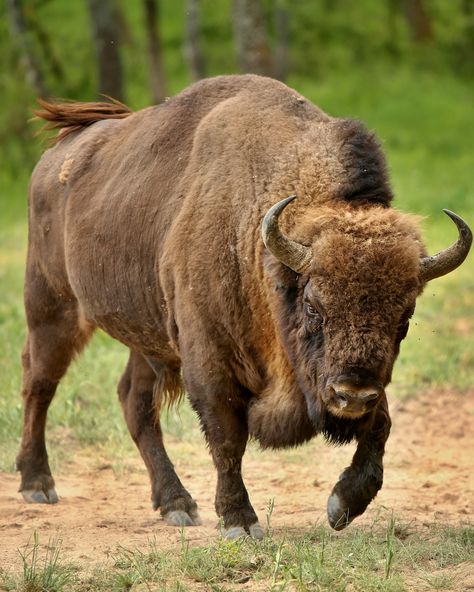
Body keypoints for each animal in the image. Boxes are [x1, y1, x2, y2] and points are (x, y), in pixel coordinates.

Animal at [17, 74, 470, 536]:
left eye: (405, 316)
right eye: (313, 306)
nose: (353, 394)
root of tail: (55, 158)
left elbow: (382, 424)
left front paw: (343, 504)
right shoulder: (209, 359)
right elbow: (227, 438)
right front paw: (240, 520)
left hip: (149, 337)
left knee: (134, 401)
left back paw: (176, 504)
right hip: (53, 307)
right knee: (40, 382)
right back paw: (37, 484)